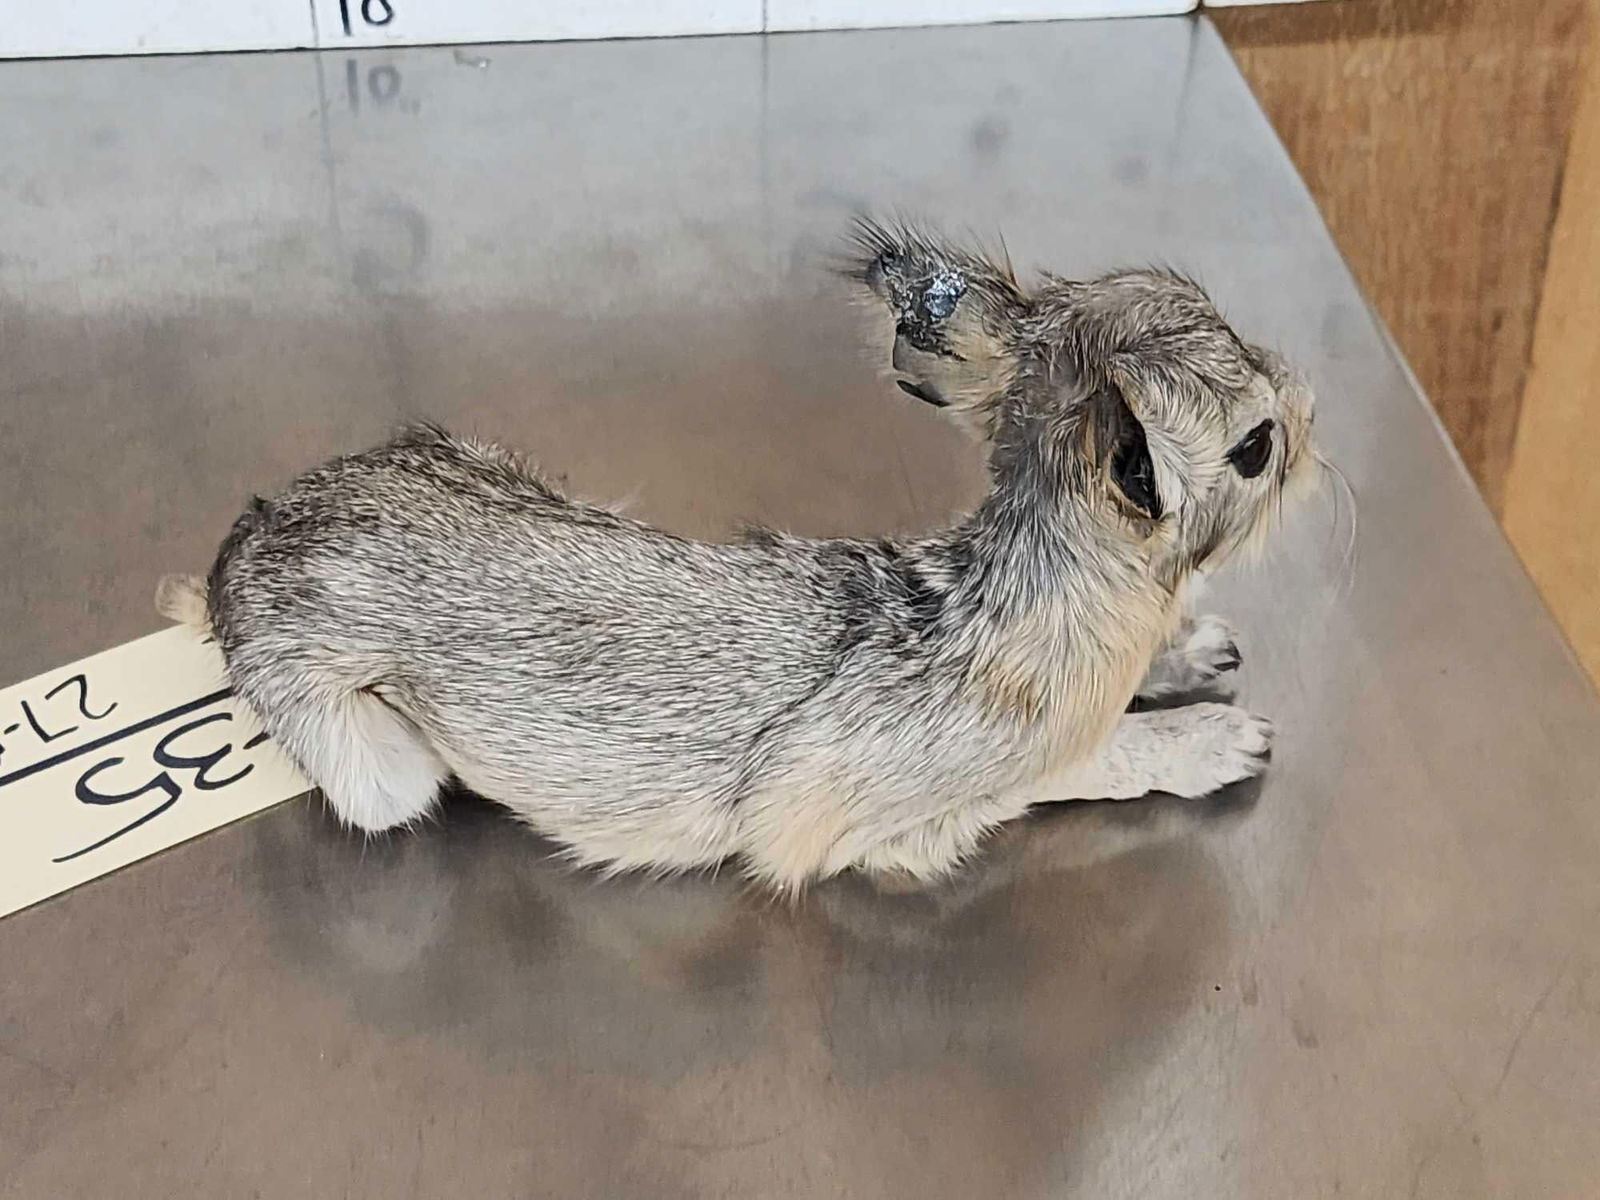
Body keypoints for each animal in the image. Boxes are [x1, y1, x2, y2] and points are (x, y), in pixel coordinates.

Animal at [155, 218, 1319, 895]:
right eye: (1255, 446)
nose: (1308, 399)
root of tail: (245, 540)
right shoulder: (885, 818)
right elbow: (1088, 761)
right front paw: (1216, 739)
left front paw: (1195, 650)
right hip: (378, 769)